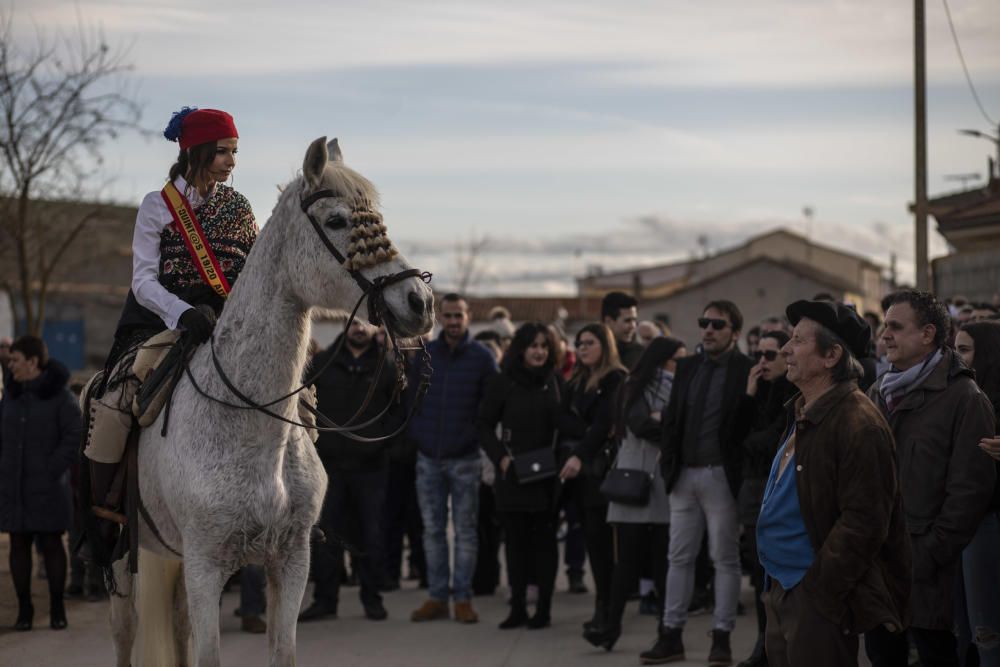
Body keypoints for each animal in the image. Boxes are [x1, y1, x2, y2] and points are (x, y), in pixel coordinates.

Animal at [109, 137, 434, 667]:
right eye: (337, 221)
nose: (419, 302)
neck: (253, 428)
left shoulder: (291, 558)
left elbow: (282, 651)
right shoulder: (205, 566)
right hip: (119, 555)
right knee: (125, 631)